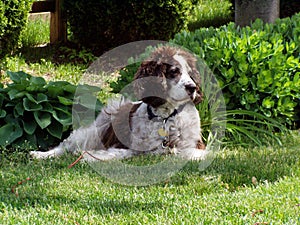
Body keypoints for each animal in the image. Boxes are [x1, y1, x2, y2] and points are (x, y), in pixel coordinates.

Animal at [31, 46, 209, 162]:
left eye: (191, 74)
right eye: (173, 71)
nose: (192, 87)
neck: (166, 117)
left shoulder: (191, 145)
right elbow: (121, 152)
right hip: (95, 130)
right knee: (67, 144)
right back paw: (41, 155)